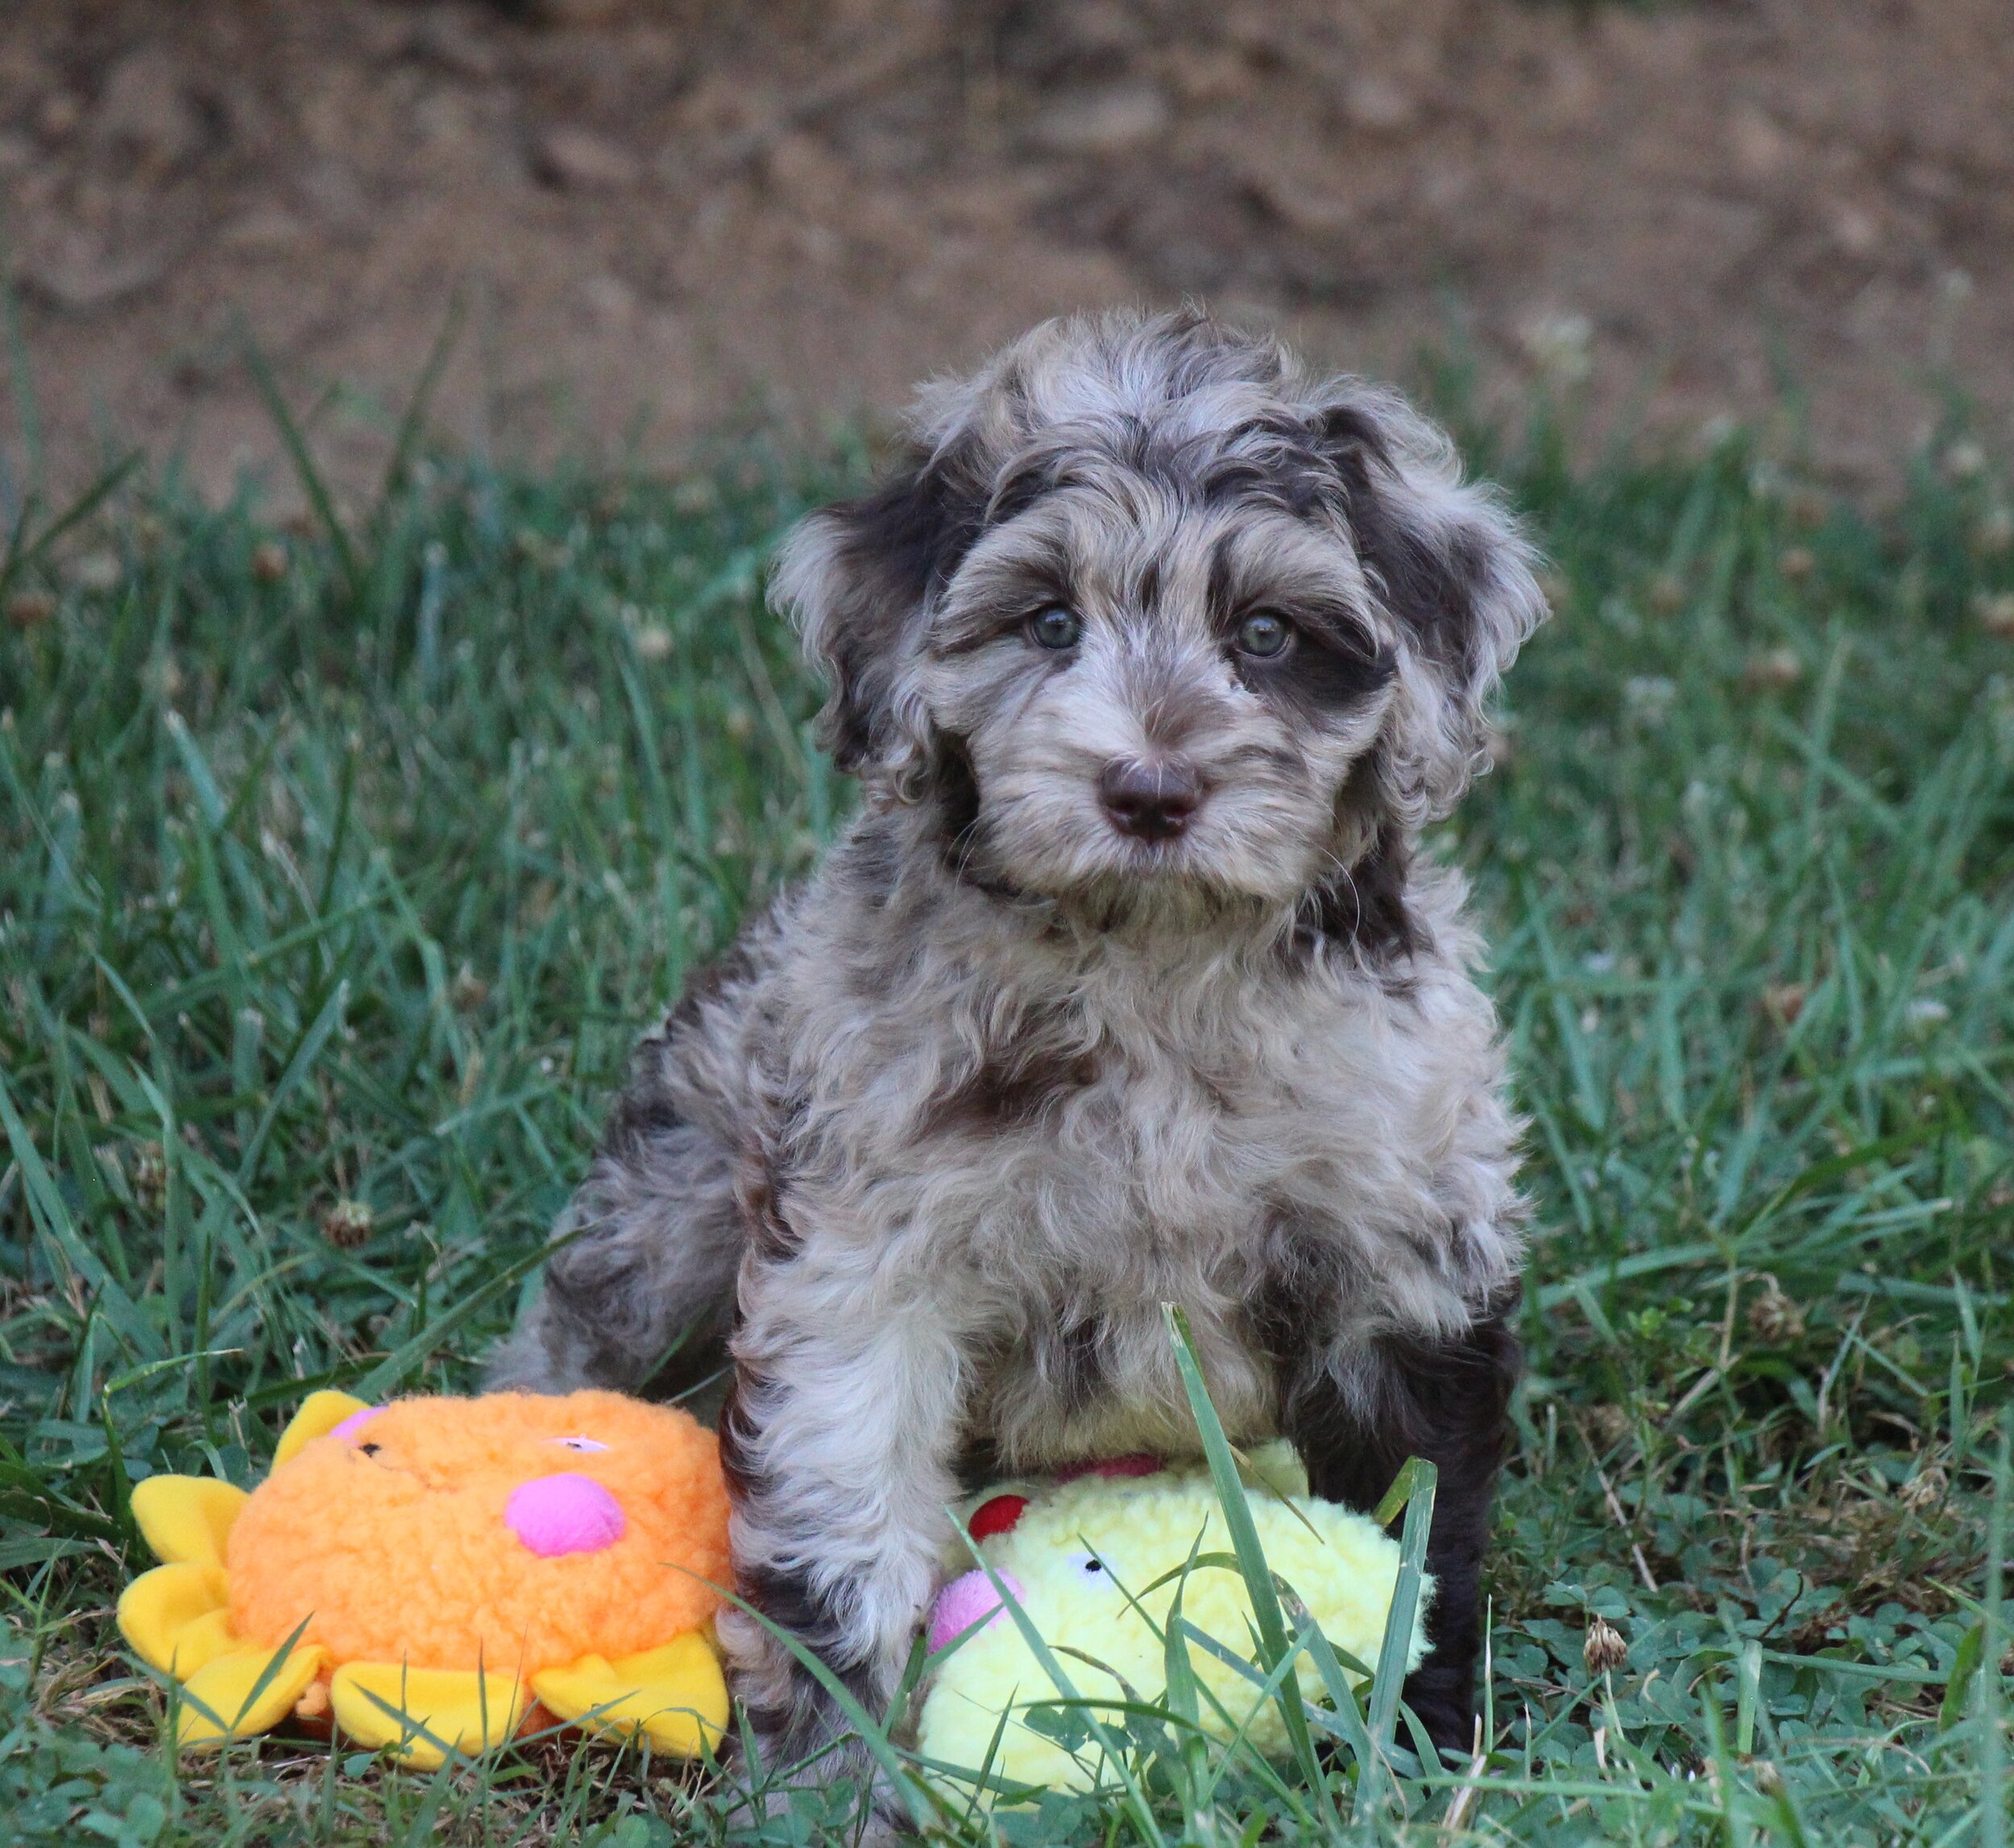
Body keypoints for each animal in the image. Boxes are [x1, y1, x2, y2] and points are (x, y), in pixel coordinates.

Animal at [487, 313, 1539, 1796]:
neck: (1153, 964)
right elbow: (844, 1505)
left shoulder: (1401, 1238)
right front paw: (832, 1776)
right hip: (679, 1173)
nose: (1150, 790)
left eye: (1267, 632)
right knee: (586, 1310)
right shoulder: (861, 1257)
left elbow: (1414, 1518)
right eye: (1049, 621)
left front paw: (1416, 1740)